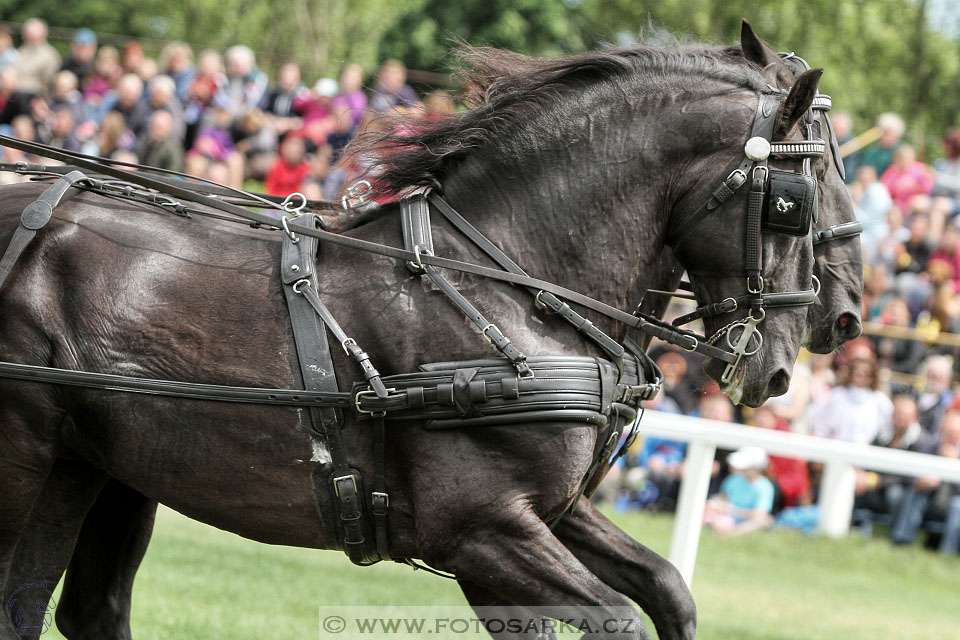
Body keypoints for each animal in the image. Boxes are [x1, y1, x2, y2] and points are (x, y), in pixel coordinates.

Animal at [0, 28, 856, 640]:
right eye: (796, 202)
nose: (796, 356)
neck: (509, 287)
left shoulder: (544, 515)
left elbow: (669, 589)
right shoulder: (480, 531)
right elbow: (621, 620)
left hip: (99, 465)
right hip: (31, 455)